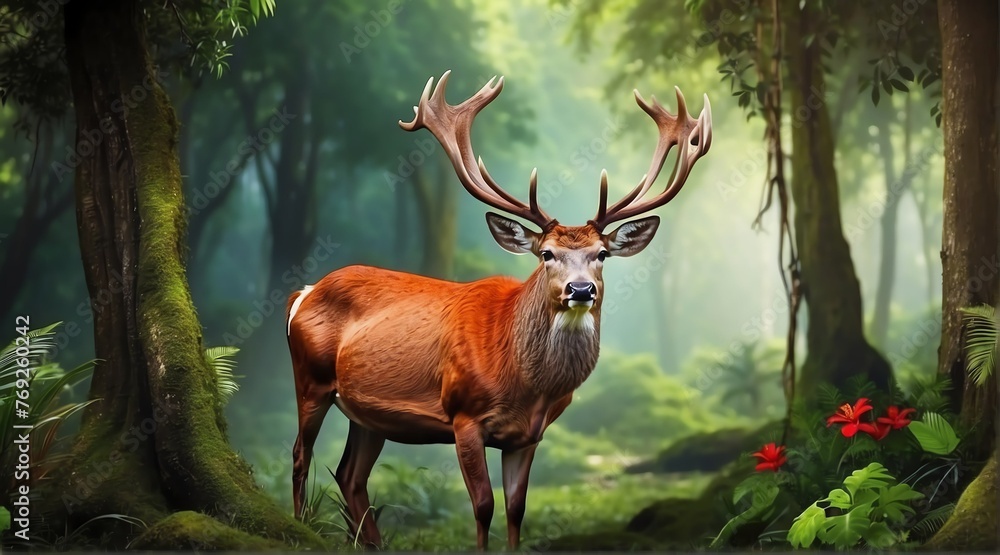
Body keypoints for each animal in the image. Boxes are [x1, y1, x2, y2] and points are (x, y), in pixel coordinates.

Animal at [286, 70, 712, 550]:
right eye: (546, 254)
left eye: (602, 254)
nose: (580, 289)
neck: (526, 384)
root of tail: (303, 292)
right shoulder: (463, 413)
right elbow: (483, 506)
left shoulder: (527, 436)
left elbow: (516, 509)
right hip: (310, 376)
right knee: (300, 455)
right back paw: (299, 527)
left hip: (367, 411)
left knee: (350, 475)